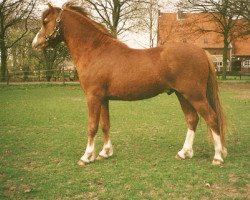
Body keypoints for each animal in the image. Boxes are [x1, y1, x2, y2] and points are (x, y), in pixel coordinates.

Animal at [32, 3, 227, 166]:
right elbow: (105, 124)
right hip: (182, 95)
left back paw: (217, 157)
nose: (35, 43)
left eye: (45, 21)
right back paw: (184, 153)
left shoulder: (93, 97)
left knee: (211, 118)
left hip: (195, 95)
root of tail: (201, 52)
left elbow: (92, 126)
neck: (95, 51)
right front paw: (105, 153)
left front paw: (87, 157)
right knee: (192, 119)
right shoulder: (103, 99)